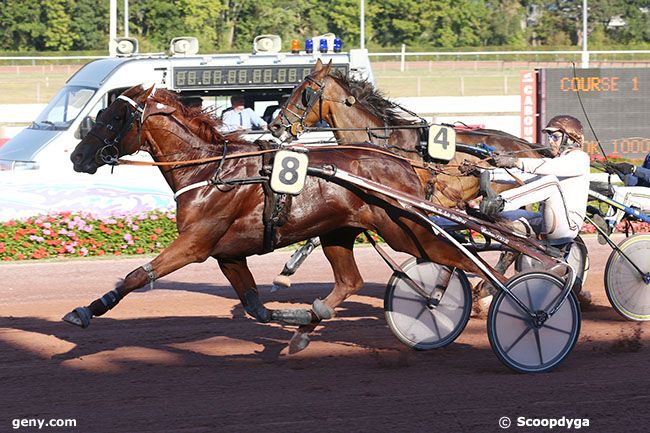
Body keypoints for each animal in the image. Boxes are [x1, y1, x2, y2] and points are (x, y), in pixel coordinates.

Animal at [66, 84, 580, 372]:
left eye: (113, 116)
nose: (76, 156)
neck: (212, 171)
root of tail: (403, 163)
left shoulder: (196, 244)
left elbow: (138, 275)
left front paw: (86, 311)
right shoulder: (228, 253)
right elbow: (256, 308)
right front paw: (296, 321)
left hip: (405, 227)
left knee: (468, 259)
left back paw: (531, 304)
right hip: (344, 231)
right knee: (354, 279)